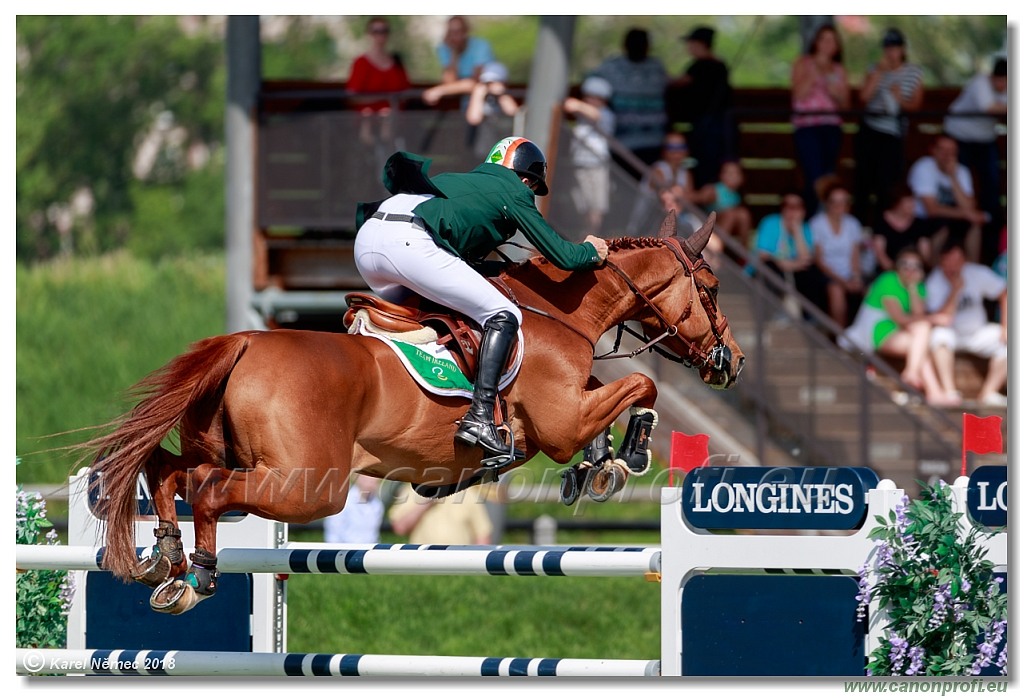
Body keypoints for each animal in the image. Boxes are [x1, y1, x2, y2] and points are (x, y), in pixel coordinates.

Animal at [88, 210, 745, 614]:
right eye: (712, 289)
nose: (732, 362)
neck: (560, 313)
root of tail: (244, 342)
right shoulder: (560, 423)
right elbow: (640, 384)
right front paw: (628, 453)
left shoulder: (573, 408)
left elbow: (612, 391)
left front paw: (599, 467)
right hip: (307, 484)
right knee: (210, 491)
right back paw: (196, 578)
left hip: (230, 452)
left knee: (168, 473)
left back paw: (165, 561)